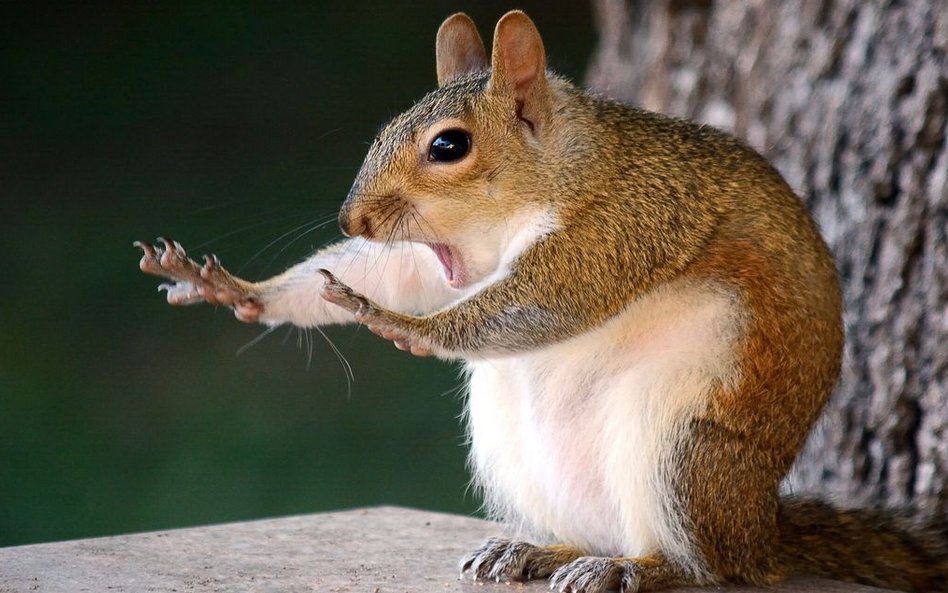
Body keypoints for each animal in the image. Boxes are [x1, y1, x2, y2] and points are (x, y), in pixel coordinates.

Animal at [133, 9, 948, 592]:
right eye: (387, 127)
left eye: (449, 146)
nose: (352, 220)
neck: (560, 171)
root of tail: (761, 530)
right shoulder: (443, 259)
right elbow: (394, 274)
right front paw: (236, 289)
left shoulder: (627, 222)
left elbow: (545, 301)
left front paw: (399, 324)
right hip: (517, 451)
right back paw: (536, 552)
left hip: (686, 449)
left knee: (709, 569)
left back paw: (637, 568)